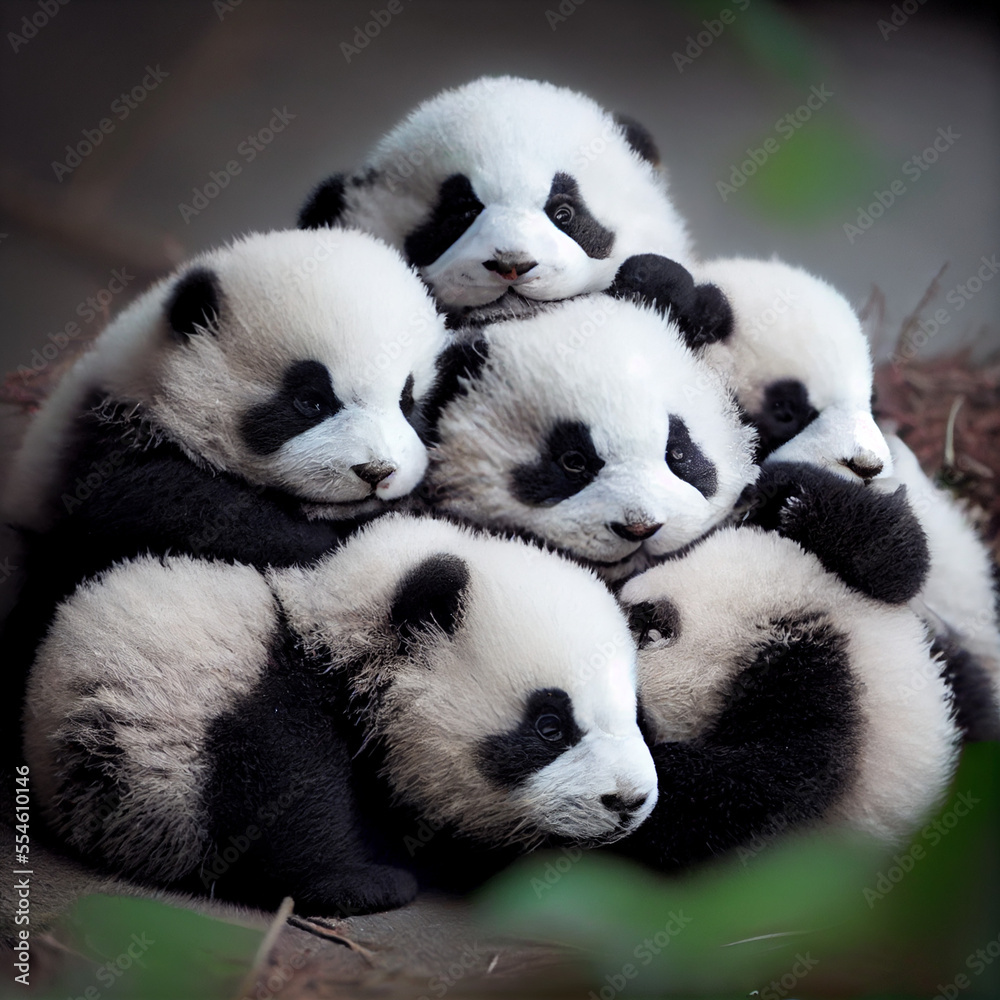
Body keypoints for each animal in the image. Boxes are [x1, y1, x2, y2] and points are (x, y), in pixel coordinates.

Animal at [23, 515, 658, 915]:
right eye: (550, 726)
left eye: (634, 716)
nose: (628, 802)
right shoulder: (260, 706)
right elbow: (285, 806)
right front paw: (362, 886)